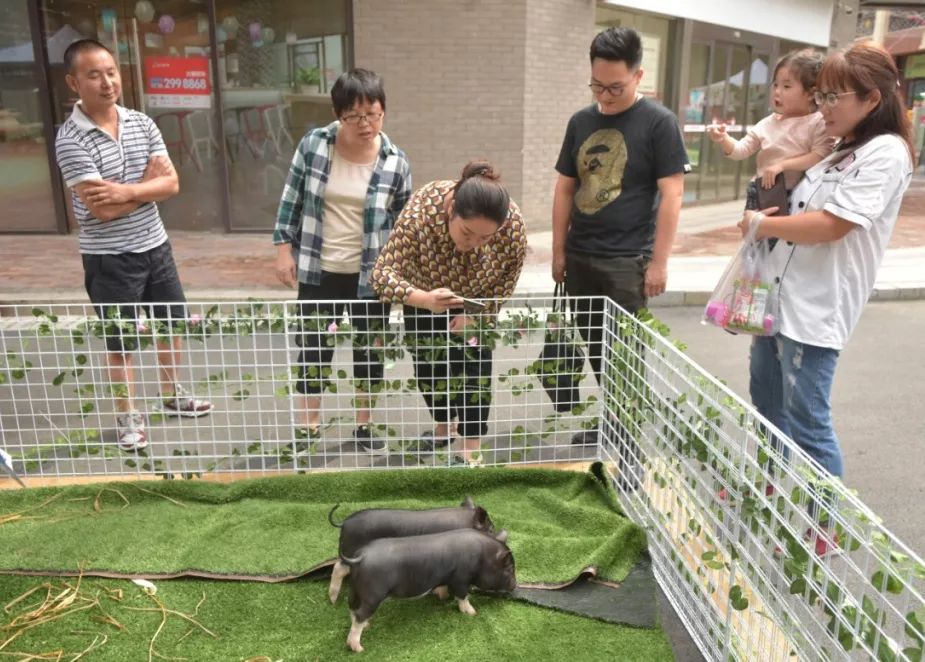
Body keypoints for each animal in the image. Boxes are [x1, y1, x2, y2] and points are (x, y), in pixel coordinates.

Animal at [342, 528, 512, 652]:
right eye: (509, 569)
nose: (514, 586)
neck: (483, 556)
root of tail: (361, 556)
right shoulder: (461, 578)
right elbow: (463, 596)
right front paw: (472, 613)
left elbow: (444, 588)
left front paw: (443, 597)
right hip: (373, 594)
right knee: (360, 614)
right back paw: (359, 648)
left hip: (355, 590)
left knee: (351, 607)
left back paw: (367, 626)